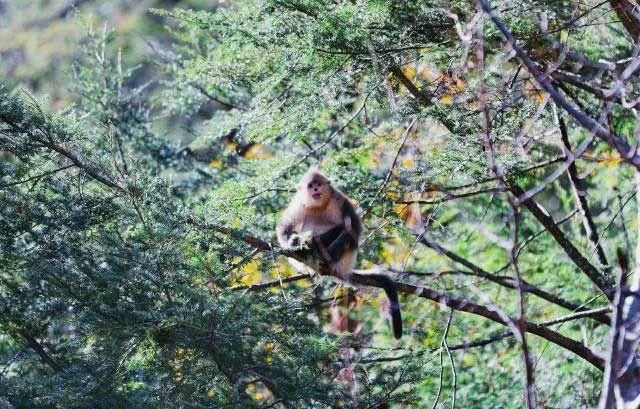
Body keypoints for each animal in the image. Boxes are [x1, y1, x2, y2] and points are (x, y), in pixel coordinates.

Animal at [278, 166, 402, 338]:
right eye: (311, 186)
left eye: (318, 184)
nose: (315, 189)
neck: (319, 206)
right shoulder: (298, 204)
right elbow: (284, 228)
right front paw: (293, 241)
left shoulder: (340, 199)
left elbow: (353, 229)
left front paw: (315, 243)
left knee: (347, 233)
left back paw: (324, 253)